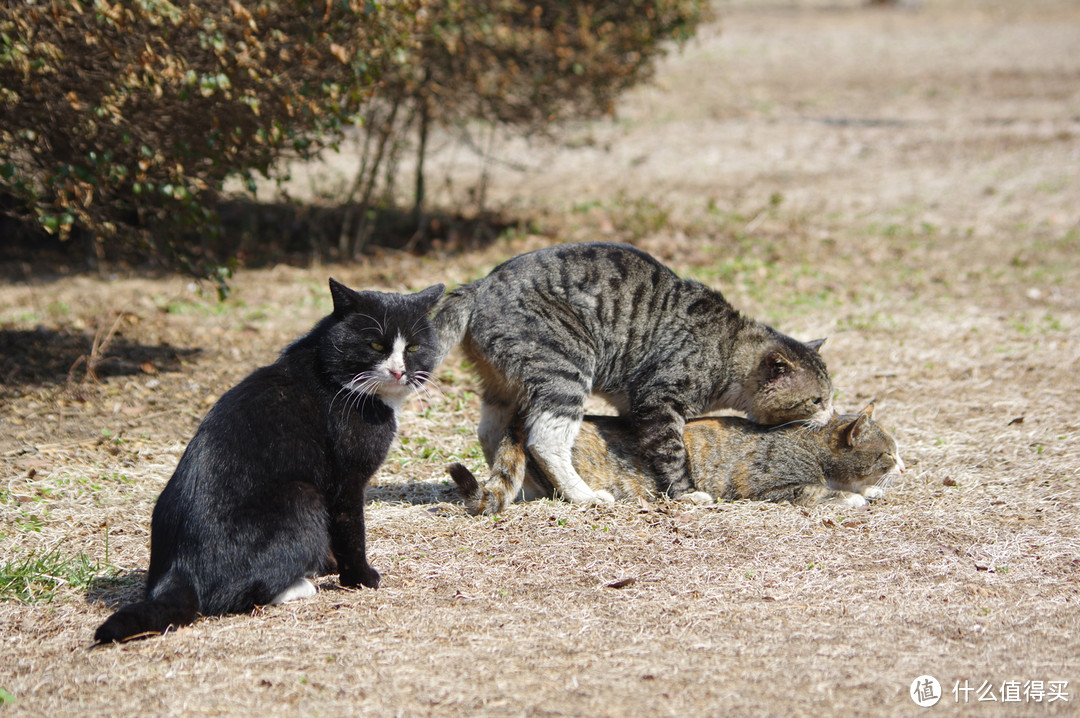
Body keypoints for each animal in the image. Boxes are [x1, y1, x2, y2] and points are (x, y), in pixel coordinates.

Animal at [96, 276, 442, 639]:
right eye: (375, 345)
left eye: (413, 348)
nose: (399, 371)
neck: (332, 375)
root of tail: (180, 570)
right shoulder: (346, 481)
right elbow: (351, 530)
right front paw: (359, 577)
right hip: (302, 496)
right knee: (229, 596)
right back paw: (297, 585)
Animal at [432, 240, 833, 509]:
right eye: (817, 401)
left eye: (830, 399)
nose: (830, 417)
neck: (728, 347)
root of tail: (481, 284)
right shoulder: (657, 399)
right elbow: (673, 452)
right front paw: (687, 493)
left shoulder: (633, 406)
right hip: (567, 370)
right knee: (544, 439)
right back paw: (583, 495)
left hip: (502, 385)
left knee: (493, 434)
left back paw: (527, 489)